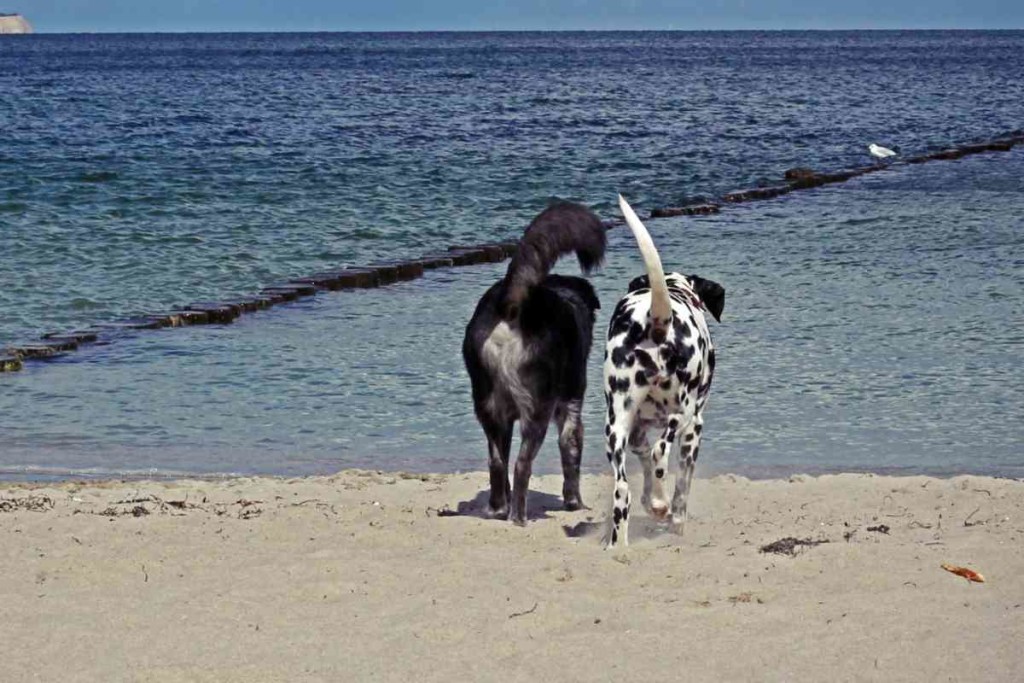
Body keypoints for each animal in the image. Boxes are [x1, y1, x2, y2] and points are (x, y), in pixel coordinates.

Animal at [464, 200, 606, 528]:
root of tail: (511, 305)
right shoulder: (570, 406)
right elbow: (571, 456)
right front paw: (574, 503)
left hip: (489, 408)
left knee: (497, 462)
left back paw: (499, 510)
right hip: (537, 410)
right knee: (521, 465)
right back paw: (519, 517)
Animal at [602, 194, 724, 548]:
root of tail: (656, 320)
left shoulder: (636, 432)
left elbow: (642, 467)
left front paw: (652, 501)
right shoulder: (694, 430)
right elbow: (682, 486)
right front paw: (674, 519)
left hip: (615, 427)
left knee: (622, 491)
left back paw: (620, 544)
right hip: (681, 414)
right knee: (660, 453)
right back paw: (660, 506)